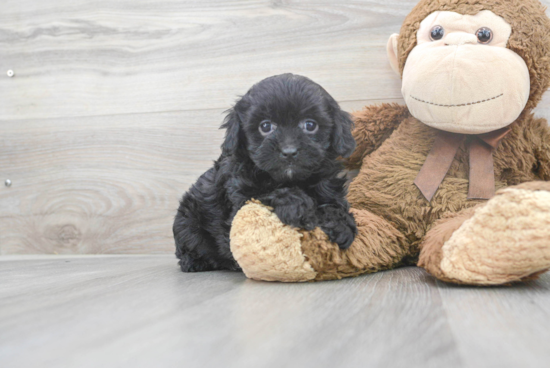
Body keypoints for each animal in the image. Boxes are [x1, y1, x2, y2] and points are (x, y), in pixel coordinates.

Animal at [175, 73, 360, 272]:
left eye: (310, 125)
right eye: (265, 127)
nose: (289, 151)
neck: (290, 179)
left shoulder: (327, 185)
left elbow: (334, 204)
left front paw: (341, 225)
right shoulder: (239, 197)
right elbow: (265, 193)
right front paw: (298, 206)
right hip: (187, 221)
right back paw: (196, 262)